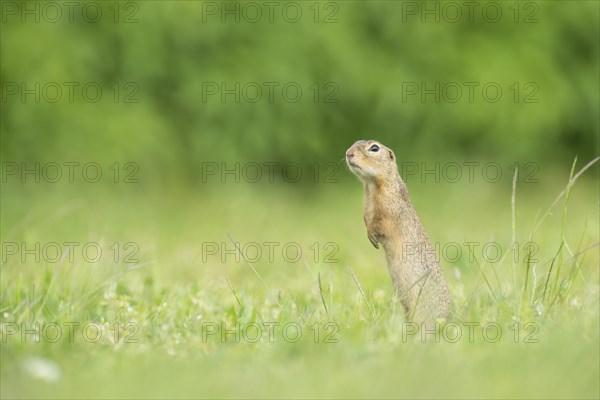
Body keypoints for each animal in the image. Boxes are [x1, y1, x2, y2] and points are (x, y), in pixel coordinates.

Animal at [344, 139, 452, 324]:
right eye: (355, 142)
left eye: (374, 148)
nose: (348, 153)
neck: (371, 186)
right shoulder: (367, 207)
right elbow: (366, 218)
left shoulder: (388, 209)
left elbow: (380, 223)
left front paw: (372, 236)